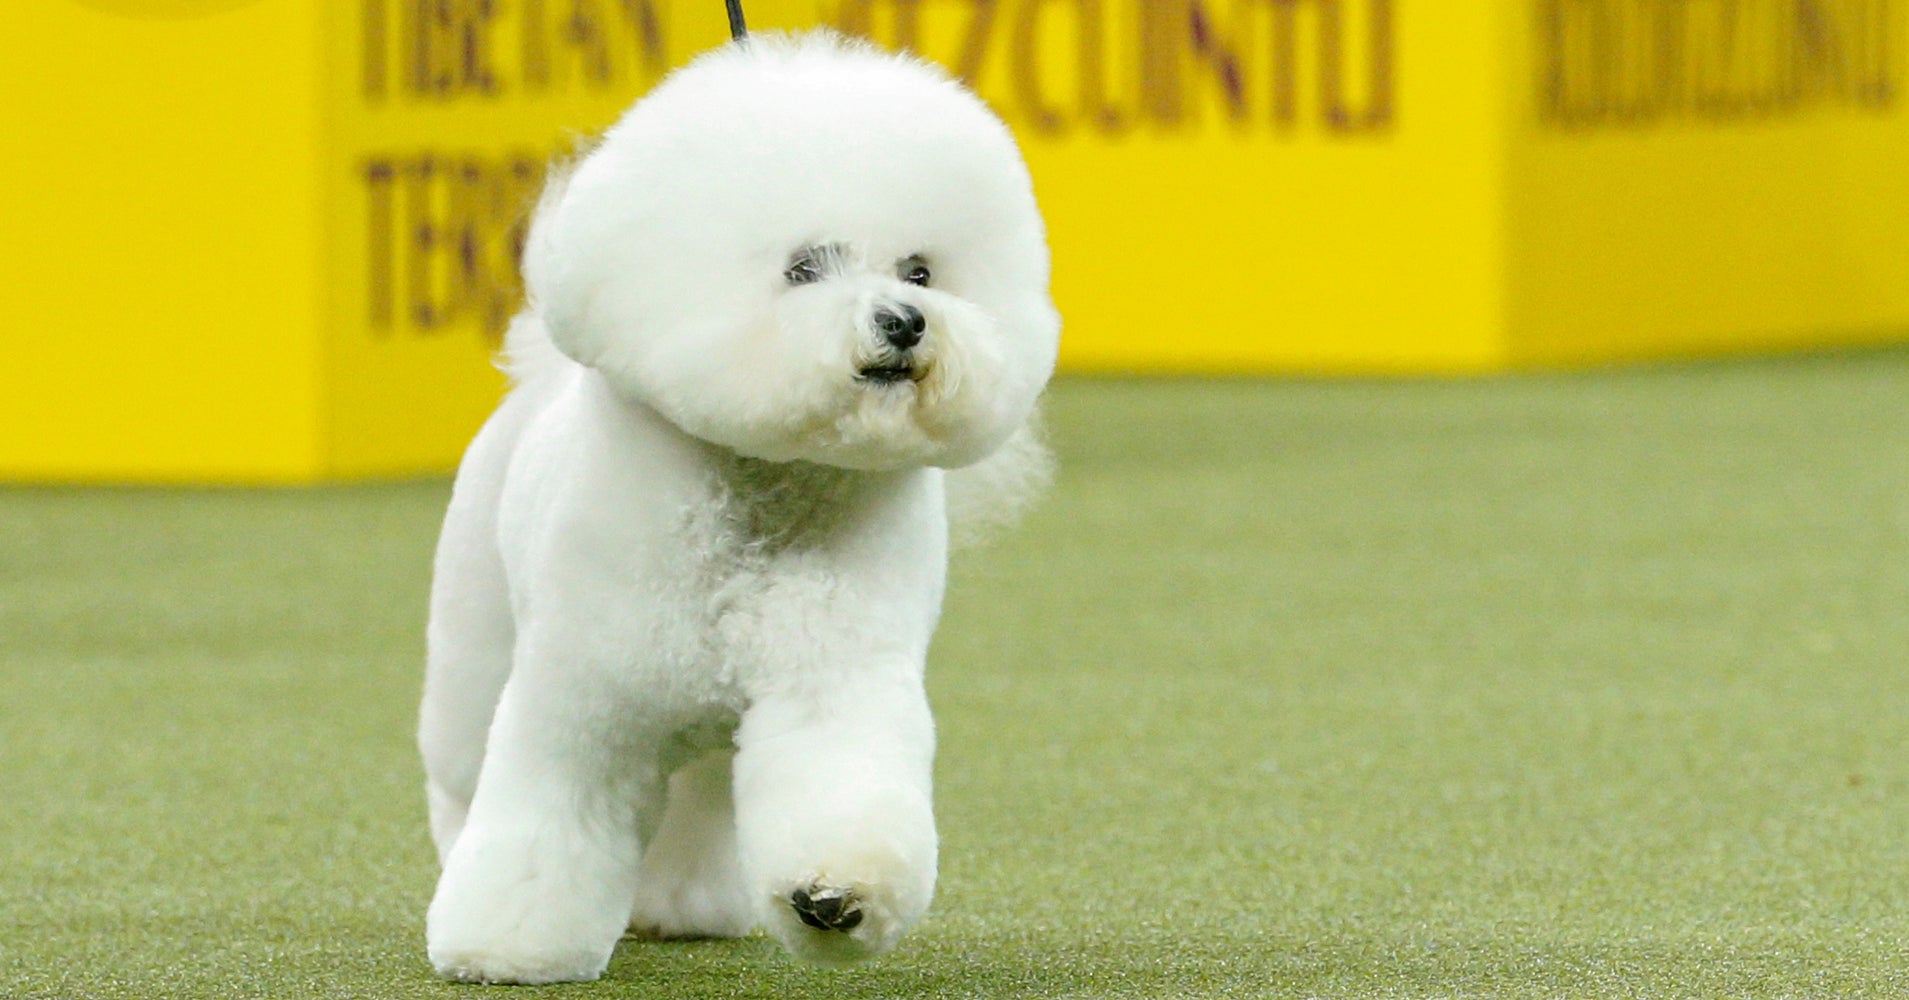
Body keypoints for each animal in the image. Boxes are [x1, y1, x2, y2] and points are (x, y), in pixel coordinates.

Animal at [416, 29, 1061, 984]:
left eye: (920, 269)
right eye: (802, 268)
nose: (906, 320)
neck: (760, 496)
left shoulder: (829, 679)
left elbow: (836, 785)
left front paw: (833, 896)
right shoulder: (582, 698)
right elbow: (550, 814)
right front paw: (509, 943)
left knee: (698, 801)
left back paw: (683, 906)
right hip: (476, 640)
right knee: (460, 778)